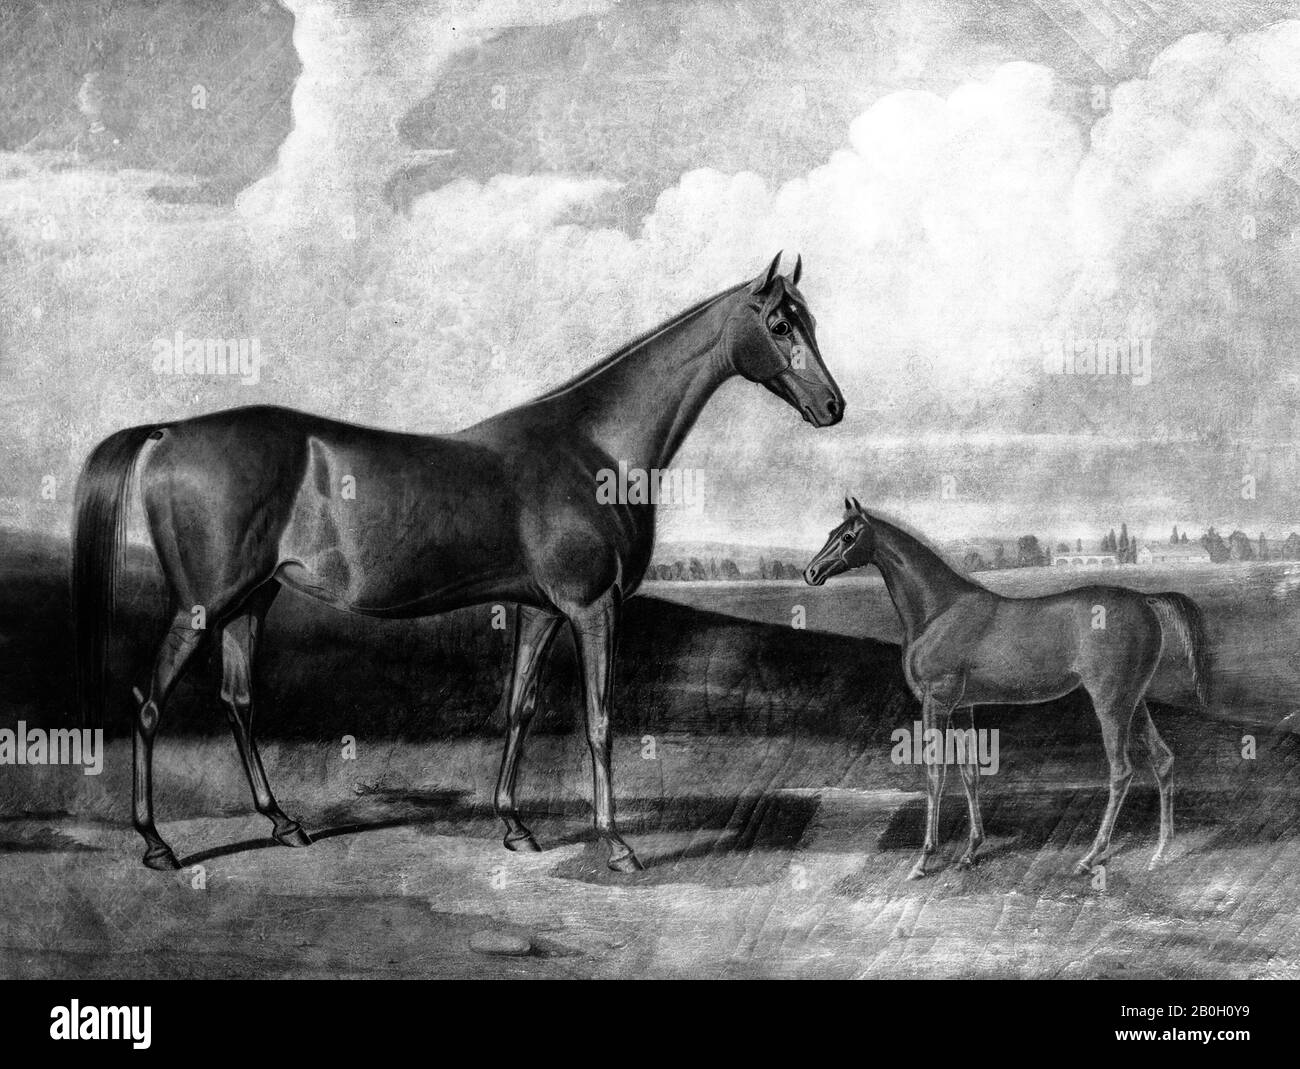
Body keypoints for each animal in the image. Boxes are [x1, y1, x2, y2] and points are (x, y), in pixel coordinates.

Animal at [74, 252, 844, 873]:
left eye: (808, 320)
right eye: (780, 324)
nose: (833, 405)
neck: (594, 447)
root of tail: (169, 432)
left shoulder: (540, 609)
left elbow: (519, 708)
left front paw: (515, 826)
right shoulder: (593, 607)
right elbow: (599, 719)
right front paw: (617, 844)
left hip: (251, 601)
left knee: (238, 701)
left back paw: (284, 822)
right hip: (204, 604)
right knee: (149, 702)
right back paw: (157, 843)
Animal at [803, 499, 1211, 879]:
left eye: (848, 536)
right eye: (830, 532)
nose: (810, 572)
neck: (940, 611)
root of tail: (1145, 600)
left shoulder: (937, 703)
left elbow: (935, 775)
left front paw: (923, 859)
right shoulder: (962, 707)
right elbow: (969, 772)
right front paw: (970, 851)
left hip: (1110, 702)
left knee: (1121, 771)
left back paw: (1091, 856)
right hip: (1133, 700)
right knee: (1162, 759)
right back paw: (1160, 853)